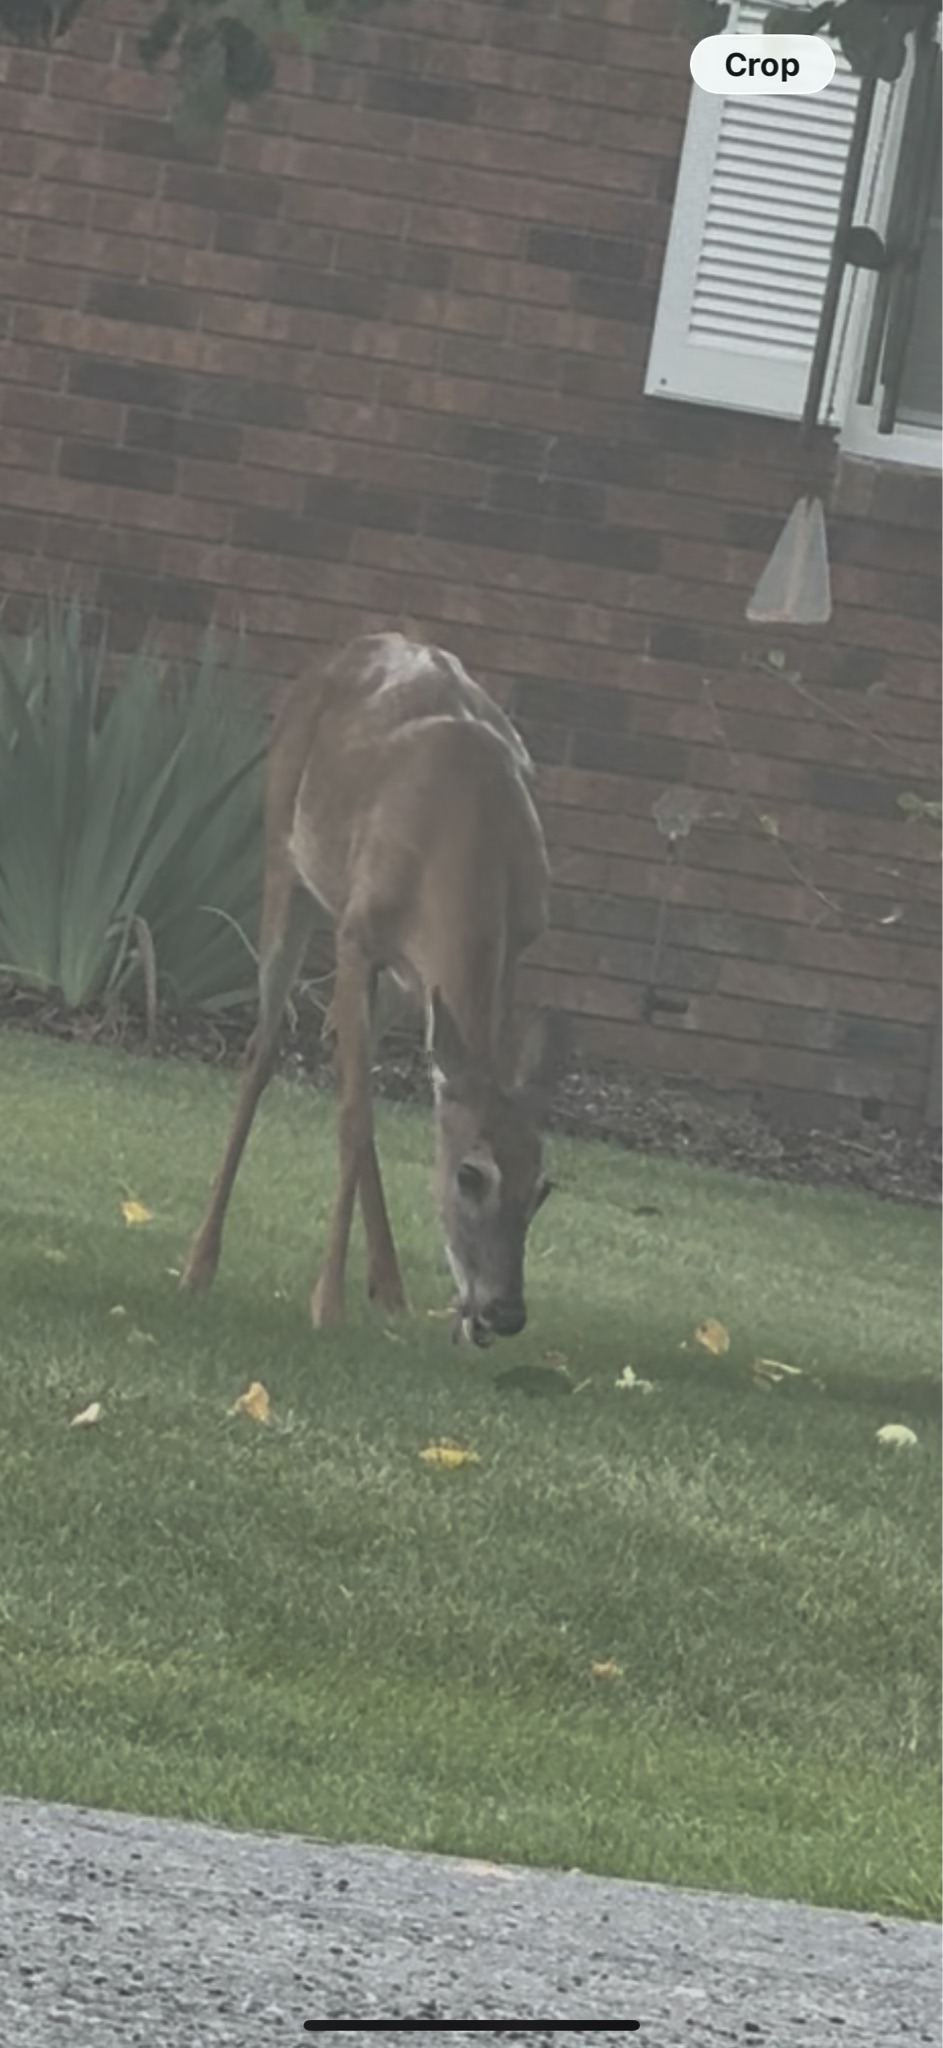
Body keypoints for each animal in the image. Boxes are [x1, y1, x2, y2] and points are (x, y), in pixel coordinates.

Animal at [180, 632, 560, 1345]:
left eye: (543, 1187)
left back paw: (389, 1287)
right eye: (470, 1175)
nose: (505, 1312)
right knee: (266, 1049)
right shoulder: (356, 933)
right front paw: (325, 1304)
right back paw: (199, 1263)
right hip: (283, 857)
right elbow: (354, 1119)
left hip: (402, 981)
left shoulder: (511, 944)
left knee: (342, 1052)